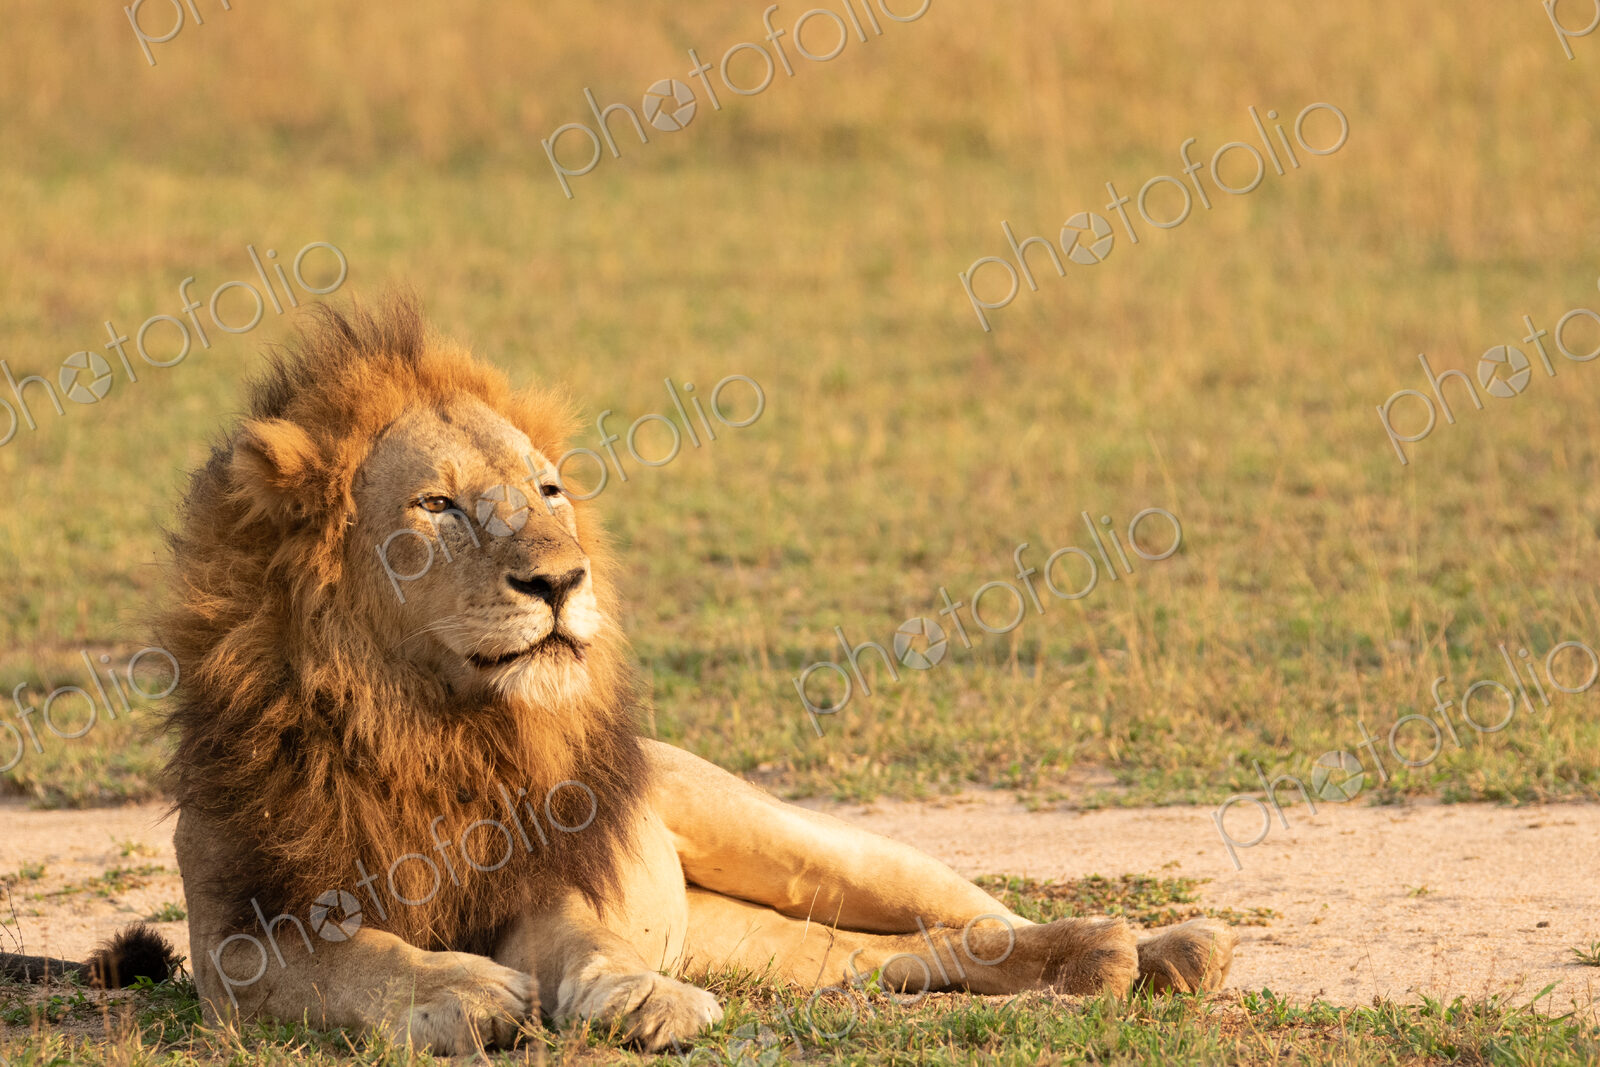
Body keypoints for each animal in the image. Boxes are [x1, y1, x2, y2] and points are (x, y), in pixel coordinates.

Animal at [3, 298, 1237, 1053]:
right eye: (438, 504)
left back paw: (1157, 948)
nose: (561, 578)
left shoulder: (549, 879)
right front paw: (457, 990)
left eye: (547, 491)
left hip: (791, 836)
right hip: (779, 946)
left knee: (970, 908)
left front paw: (641, 997)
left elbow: (589, 945)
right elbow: (359, 960)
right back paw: (1101, 966)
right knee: (892, 958)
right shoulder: (245, 936)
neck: (427, 719)